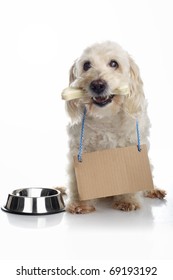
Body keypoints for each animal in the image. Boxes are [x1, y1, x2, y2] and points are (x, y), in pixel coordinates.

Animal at [64, 40, 166, 213]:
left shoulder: (131, 146)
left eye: (114, 63)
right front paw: (80, 204)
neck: (106, 117)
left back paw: (153, 190)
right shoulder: (79, 151)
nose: (97, 85)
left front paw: (127, 201)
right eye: (86, 65)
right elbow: (76, 181)